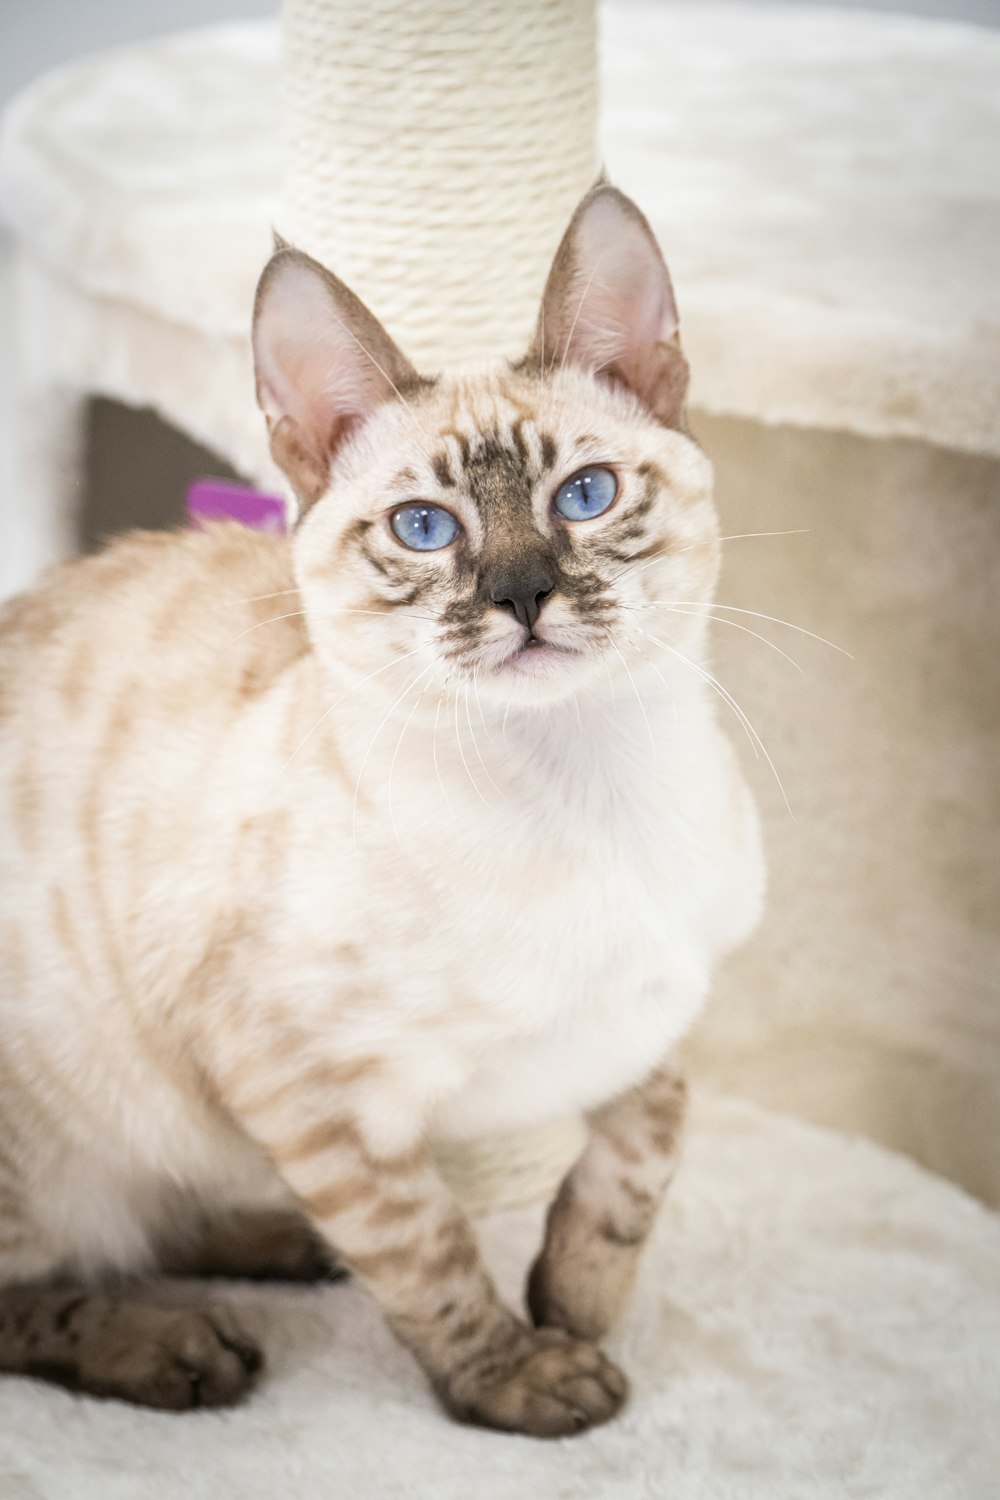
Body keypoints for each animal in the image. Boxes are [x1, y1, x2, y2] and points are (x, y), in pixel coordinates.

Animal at [0, 187, 761, 1440]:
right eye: (424, 529)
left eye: (584, 497)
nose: (520, 593)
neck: (583, 790)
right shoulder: (302, 1085)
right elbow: (428, 1254)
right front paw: (522, 1376)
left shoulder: (660, 1002)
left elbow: (650, 1137)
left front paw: (577, 1298)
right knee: (49, 1280)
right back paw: (178, 1346)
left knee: (155, 1222)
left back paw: (278, 1247)